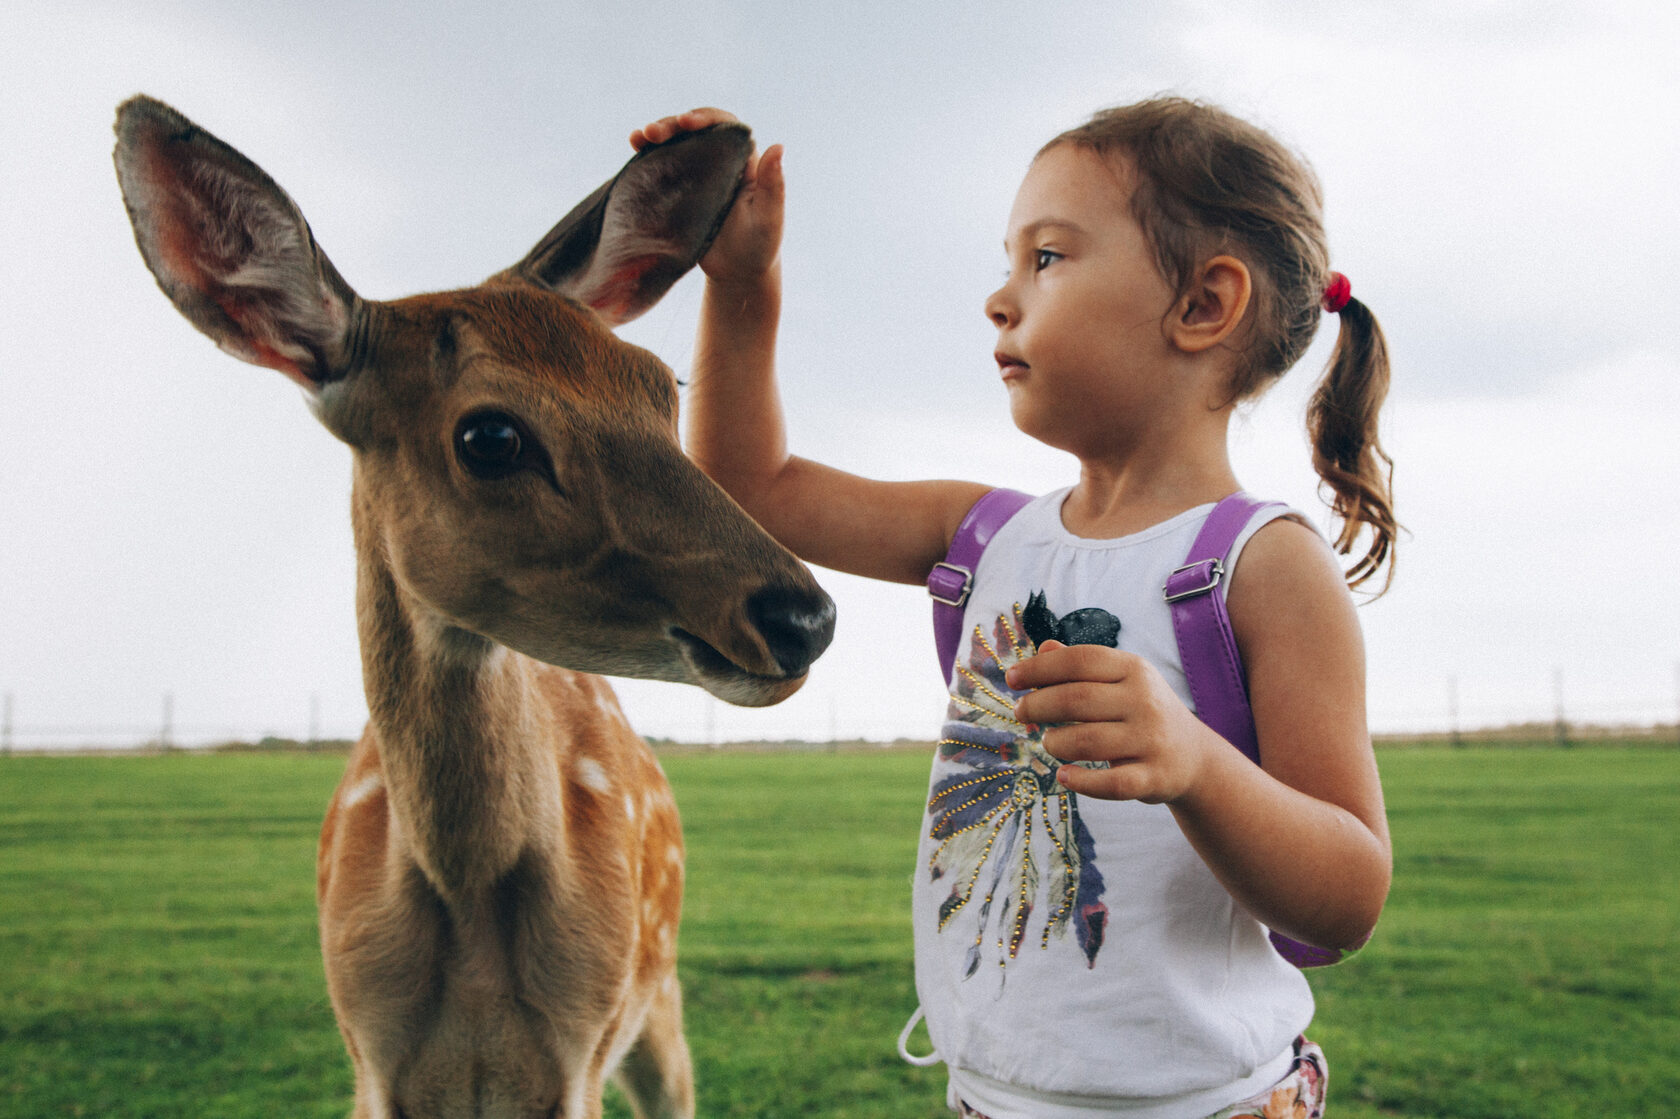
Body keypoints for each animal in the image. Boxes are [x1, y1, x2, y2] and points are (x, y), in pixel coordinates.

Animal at [111, 97, 833, 1115]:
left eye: (665, 385)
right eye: (490, 436)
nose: (801, 616)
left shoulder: (582, 1051)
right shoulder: (368, 1060)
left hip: (659, 1002)